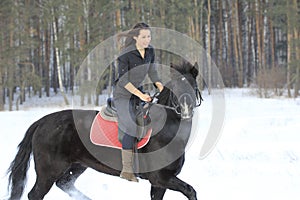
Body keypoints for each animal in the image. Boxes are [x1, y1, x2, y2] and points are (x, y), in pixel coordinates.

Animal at [6, 61, 202, 200]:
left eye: (193, 85)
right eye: (175, 87)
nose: (186, 110)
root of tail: (41, 122)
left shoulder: (160, 183)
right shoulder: (160, 178)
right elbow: (190, 191)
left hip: (77, 165)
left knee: (65, 184)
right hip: (48, 170)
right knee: (36, 194)